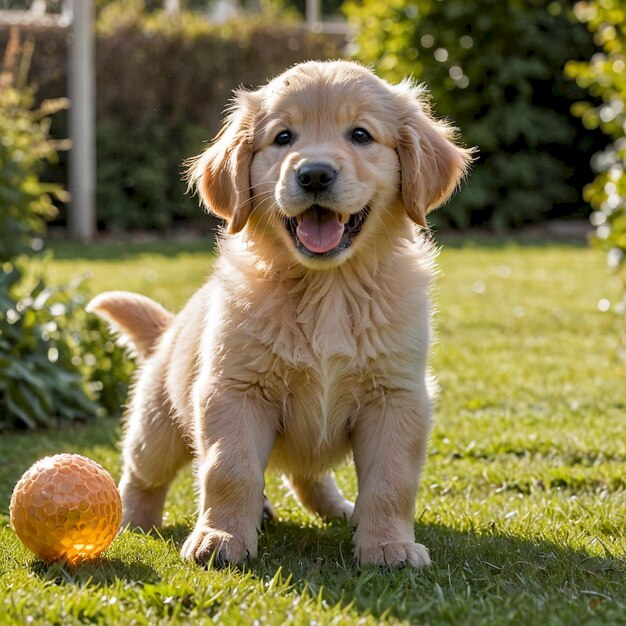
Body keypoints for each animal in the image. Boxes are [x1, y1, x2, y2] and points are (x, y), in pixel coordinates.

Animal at [86, 61, 468, 568]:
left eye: (361, 135)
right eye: (283, 137)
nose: (314, 175)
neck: (328, 288)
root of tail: (168, 329)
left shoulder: (397, 397)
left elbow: (391, 481)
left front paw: (389, 545)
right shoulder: (234, 391)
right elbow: (230, 470)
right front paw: (221, 538)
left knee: (308, 477)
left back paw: (339, 510)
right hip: (157, 427)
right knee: (141, 474)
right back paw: (133, 520)